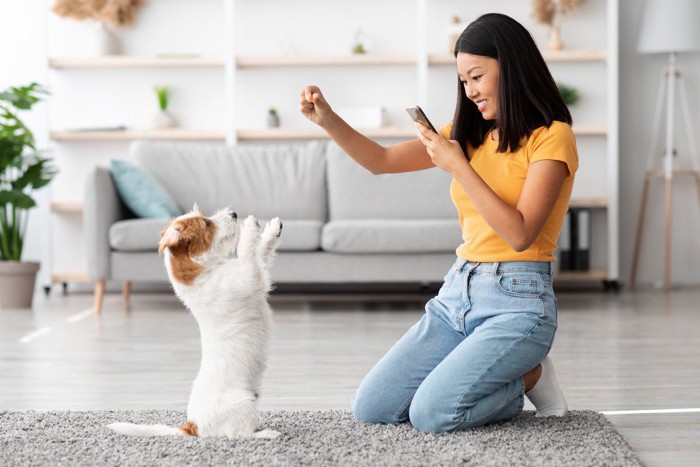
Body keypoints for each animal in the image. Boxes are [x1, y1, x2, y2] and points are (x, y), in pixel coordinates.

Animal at [108, 207, 282, 440]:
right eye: (207, 223)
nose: (234, 213)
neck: (202, 272)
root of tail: (193, 426)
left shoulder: (254, 272)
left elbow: (261, 251)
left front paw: (273, 229)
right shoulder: (248, 277)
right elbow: (247, 253)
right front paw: (249, 227)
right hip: (245, 404)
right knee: (239, 435)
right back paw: (267, 434)